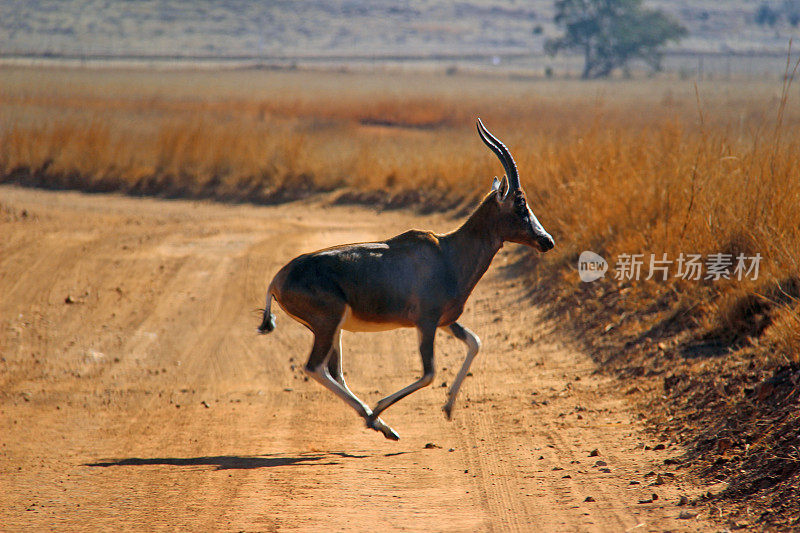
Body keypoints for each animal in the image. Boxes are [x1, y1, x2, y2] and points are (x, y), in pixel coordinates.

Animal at [260, 120, 552, 440]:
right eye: (520, 204)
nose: (546, 241)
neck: (446, 252)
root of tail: (277, 279)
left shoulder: (444, 321)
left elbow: (475, 342)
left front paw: (448, 407)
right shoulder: (426, 322)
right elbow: (429, 373)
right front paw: (380, 409)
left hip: (333, 329)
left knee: (333, 372)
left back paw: (380, 424)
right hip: (328, 324)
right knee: (315, 368)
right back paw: (376, 420)